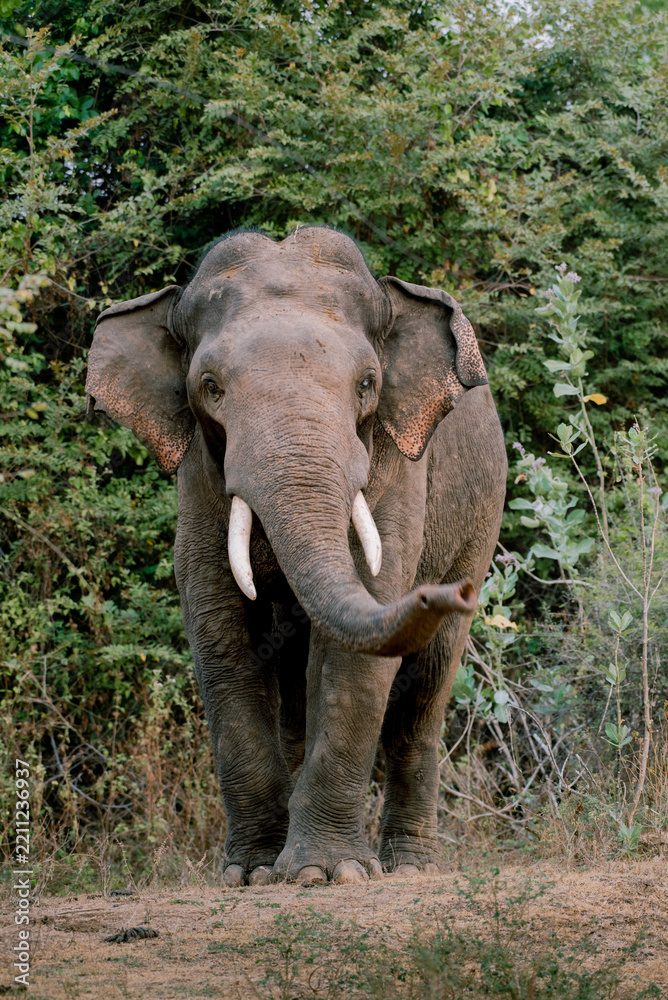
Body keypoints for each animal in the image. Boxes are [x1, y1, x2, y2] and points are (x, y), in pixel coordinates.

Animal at [86, 226, 507, 887]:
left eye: (367, 383)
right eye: (210, 387)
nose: (446, 593)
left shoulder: (397, 469)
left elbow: (358, 645)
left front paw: (329, 874)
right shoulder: (197, 481)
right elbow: (220, 638)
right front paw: (253, 874)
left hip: (479, 521)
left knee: (424, 693)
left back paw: (410, 867)